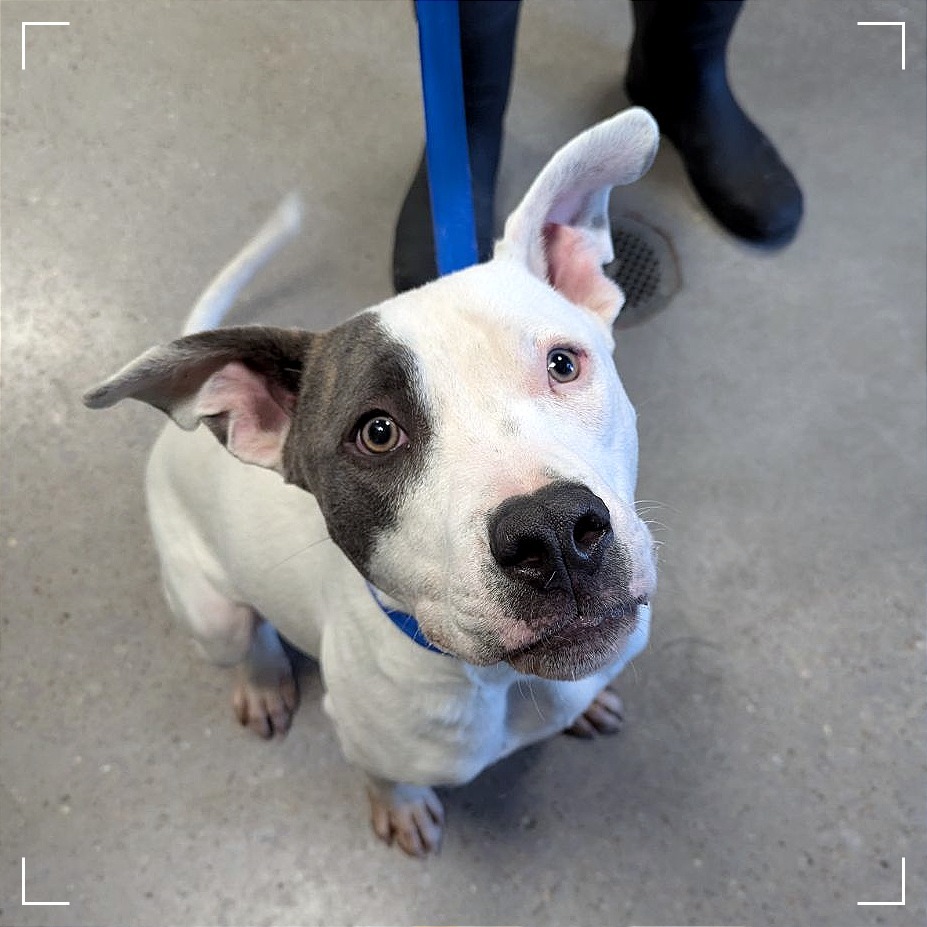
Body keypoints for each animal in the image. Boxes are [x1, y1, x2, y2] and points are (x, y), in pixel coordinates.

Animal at [83, 107, 656, 856]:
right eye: (377, 432)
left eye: (563, 363)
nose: (556, 532)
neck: (501, 683)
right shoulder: (368, 741)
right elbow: (385, 777)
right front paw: (402, 806)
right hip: (210, 611)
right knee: (243, 637)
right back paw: (264, 680)